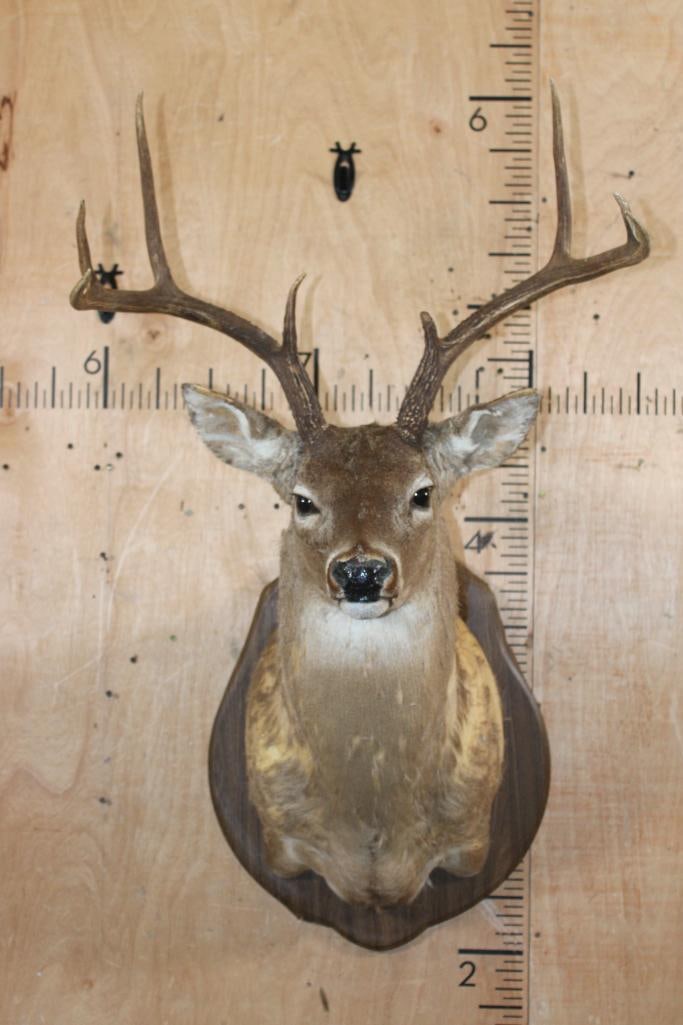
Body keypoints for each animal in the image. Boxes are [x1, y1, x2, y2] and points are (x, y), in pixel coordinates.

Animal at [70, 86, 649, 907]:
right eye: (301, 498)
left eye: (422, 491)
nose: (362, 572)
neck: (374, 835)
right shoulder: (281, 846)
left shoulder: (474, 844)